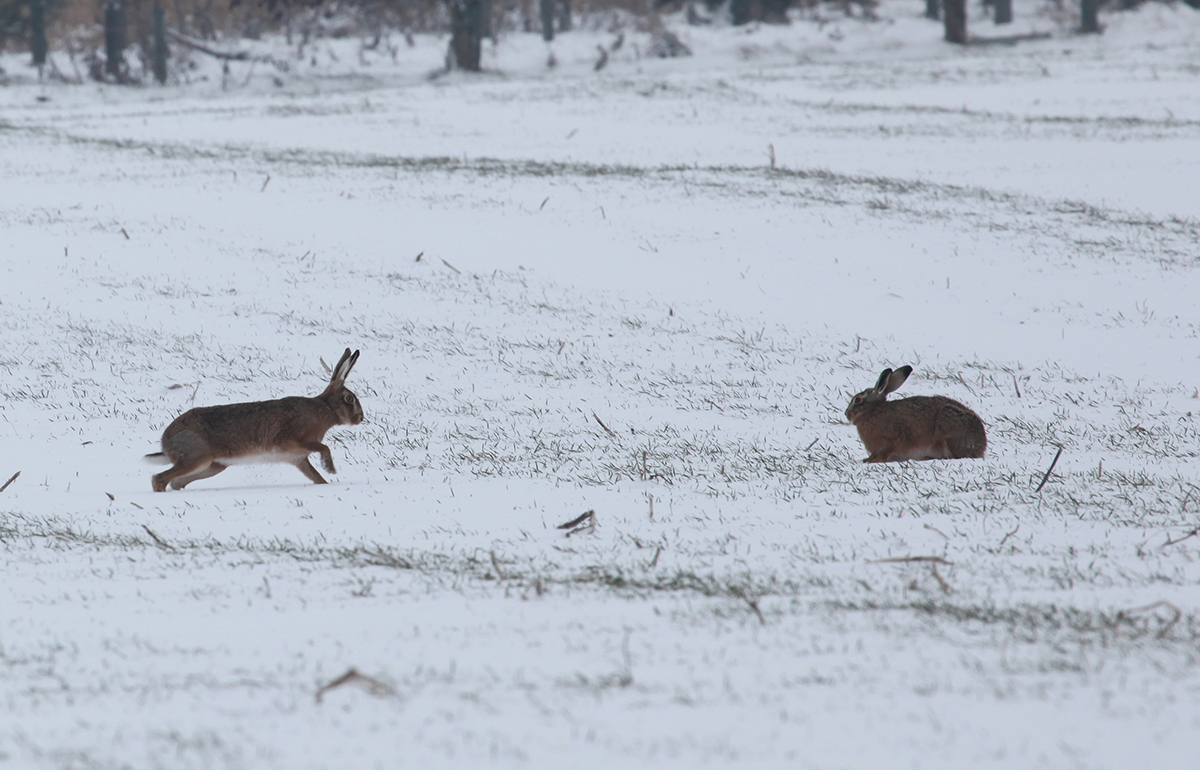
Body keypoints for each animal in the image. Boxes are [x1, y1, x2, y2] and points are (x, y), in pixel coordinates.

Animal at [146, 349, 364, 491]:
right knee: (160, 479)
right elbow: (324, 448)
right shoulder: (290, 441)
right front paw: (330, 468)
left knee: (176, 482)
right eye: (350, 399)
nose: (361, 418)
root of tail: (166, 441)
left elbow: (316, 477)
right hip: (196, 456)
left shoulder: (298, 458)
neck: (325, 409)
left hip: (213, 466)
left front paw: (326, 483)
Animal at [844, 365, 986, 463]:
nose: (847, 414)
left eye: (857, 400)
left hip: (946, 427)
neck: (873, 411)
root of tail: (981, 445)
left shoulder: (894, 437)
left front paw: (874, 461)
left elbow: (887, 451)